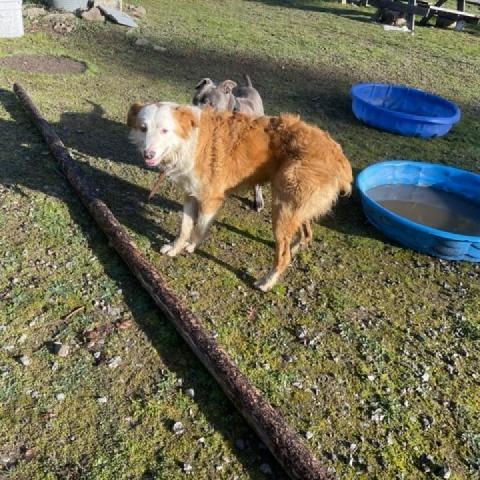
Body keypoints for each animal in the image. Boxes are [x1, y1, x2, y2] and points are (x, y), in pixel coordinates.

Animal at [127, 102, 352, 290]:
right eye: (143, 128)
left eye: (164, 130)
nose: (148, 154)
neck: (190, 140)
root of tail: (337, 155)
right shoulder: (190, 194)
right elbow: (184, 227)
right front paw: (176, 248)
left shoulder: (211, 199)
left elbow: (199, 227)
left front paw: (191, 246)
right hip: (295, 206)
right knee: (305, 234)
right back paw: (295, 247)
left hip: (281, 207)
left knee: (283, 255)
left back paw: (266, 282)